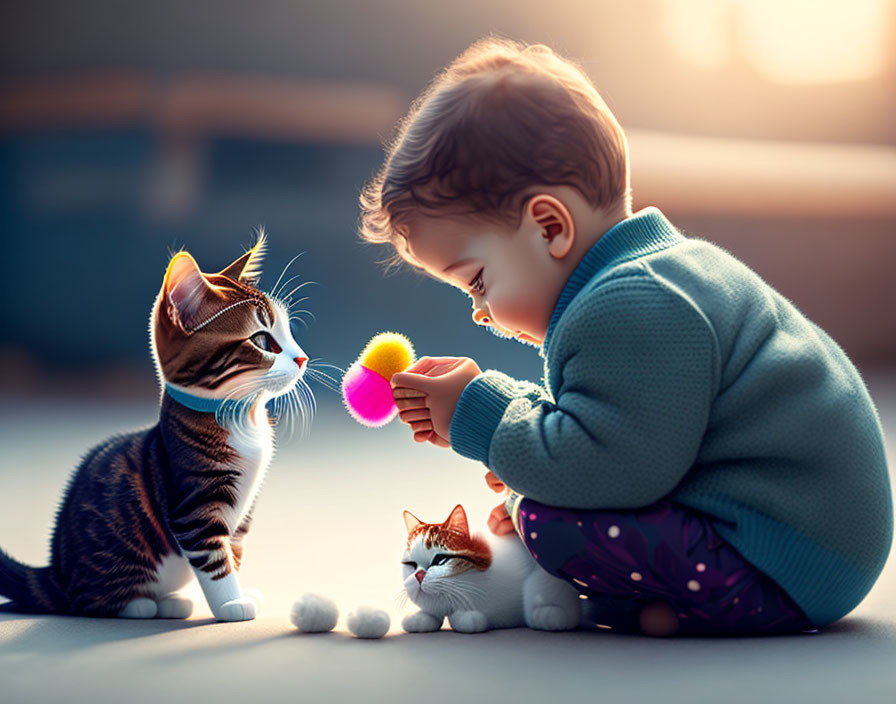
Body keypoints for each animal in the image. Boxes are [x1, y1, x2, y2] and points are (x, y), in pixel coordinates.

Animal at [0, 235, 310, 620]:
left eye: (288, 333)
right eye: (263, 341)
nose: (302, 358)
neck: (243, 419)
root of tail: (58, 573)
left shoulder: (243, 514)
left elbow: (234, 552)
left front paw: (240, 589)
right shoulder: (193, 508)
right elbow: (215, 560)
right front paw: (231, 603)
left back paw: (173, 603)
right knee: (89, 601)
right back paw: (139, 605)